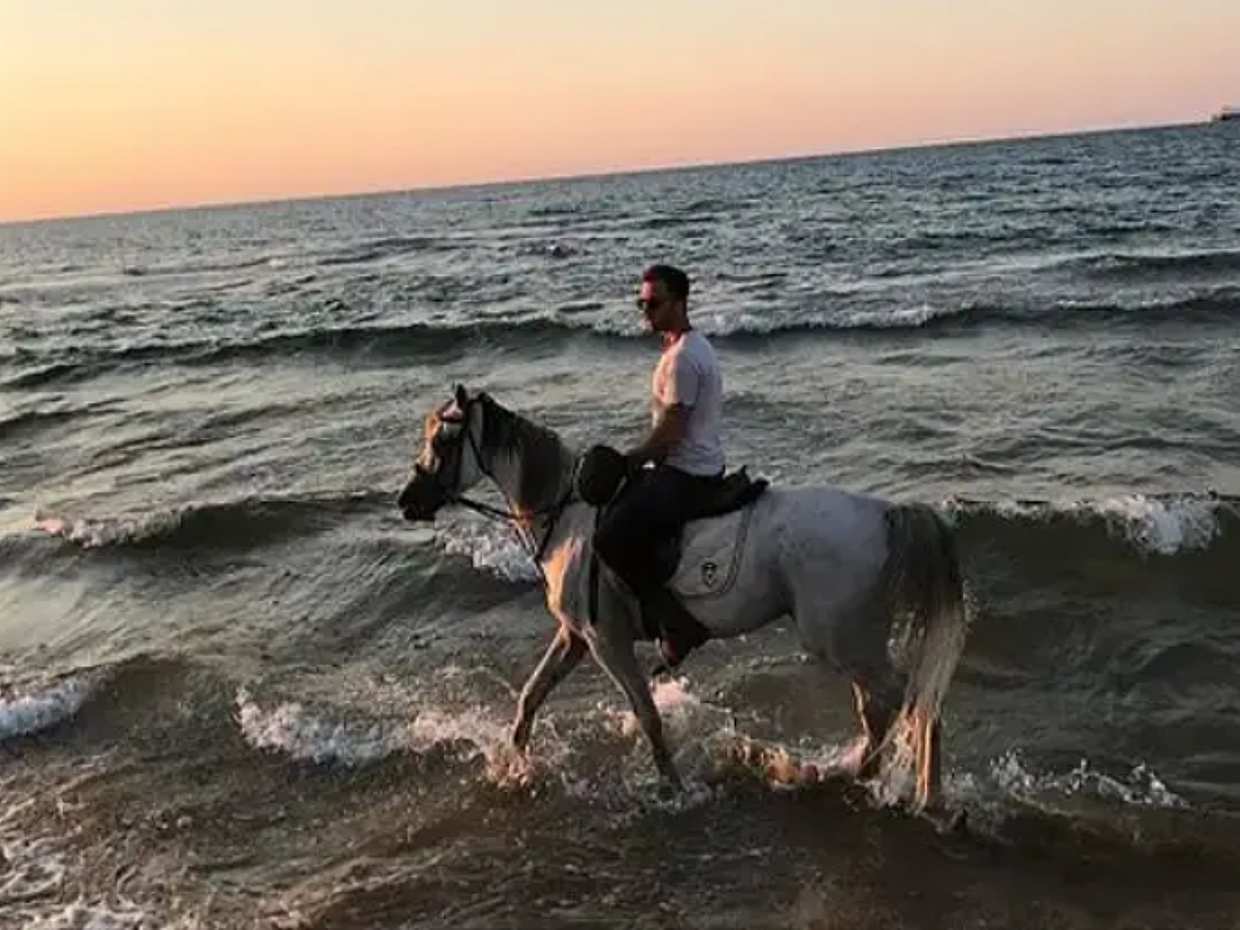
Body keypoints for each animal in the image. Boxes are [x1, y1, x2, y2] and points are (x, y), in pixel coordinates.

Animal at [397, 385, 968, 810]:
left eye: (443, 442)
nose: (407, 502)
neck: (568, 515)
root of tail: (884, 515)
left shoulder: (606, 642)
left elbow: (647, 715)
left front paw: (672, 788)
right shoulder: (576, 636)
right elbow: (531, 694)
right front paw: (515, 763)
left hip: (842, 640)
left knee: (913, 701)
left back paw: (925, 797)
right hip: (852, 641)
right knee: (883, 709)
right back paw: (857, 777)